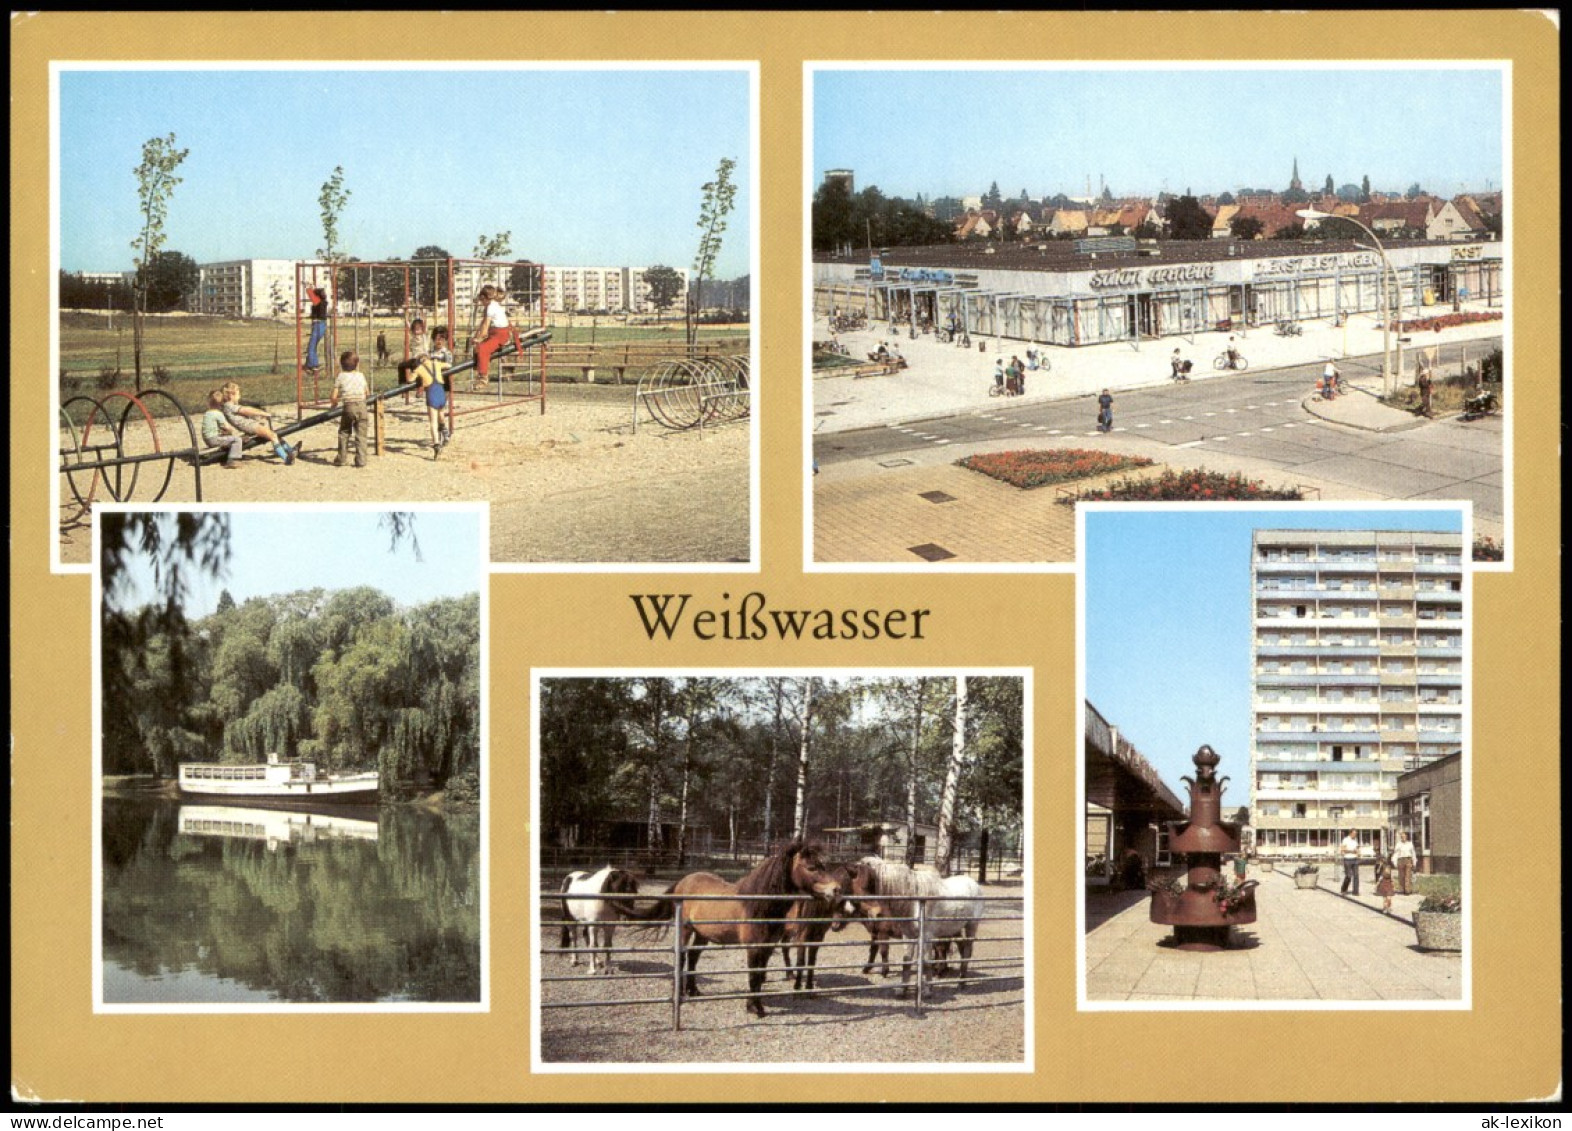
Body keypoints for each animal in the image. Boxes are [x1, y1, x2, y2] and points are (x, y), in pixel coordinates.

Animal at [672, 843, 848, 1019]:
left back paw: (693, 990)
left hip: (702, 934)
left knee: (693, 956)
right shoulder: (753, 948)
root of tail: (684, 881)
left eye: (823, 866)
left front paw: (756, 1006)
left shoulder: (767, 946)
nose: (836, 890)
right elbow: (753, 976)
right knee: (681, 957)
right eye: (811, 867)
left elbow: (759, 976)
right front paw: (755, 1008)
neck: (758, 905)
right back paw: (680, 994)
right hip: (686, 930)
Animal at [848, 862, 980, 994]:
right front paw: (903, 990)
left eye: (871, 885)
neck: (912, 903)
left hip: (970, 926)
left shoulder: (920, 935)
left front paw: (927, 990)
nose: (877, 913)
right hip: (953, 930)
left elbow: (924, 961)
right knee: (958, 949)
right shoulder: (904, 935)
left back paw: (959, 981)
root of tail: (973, 883)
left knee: (963, 951)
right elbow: (903, 960)